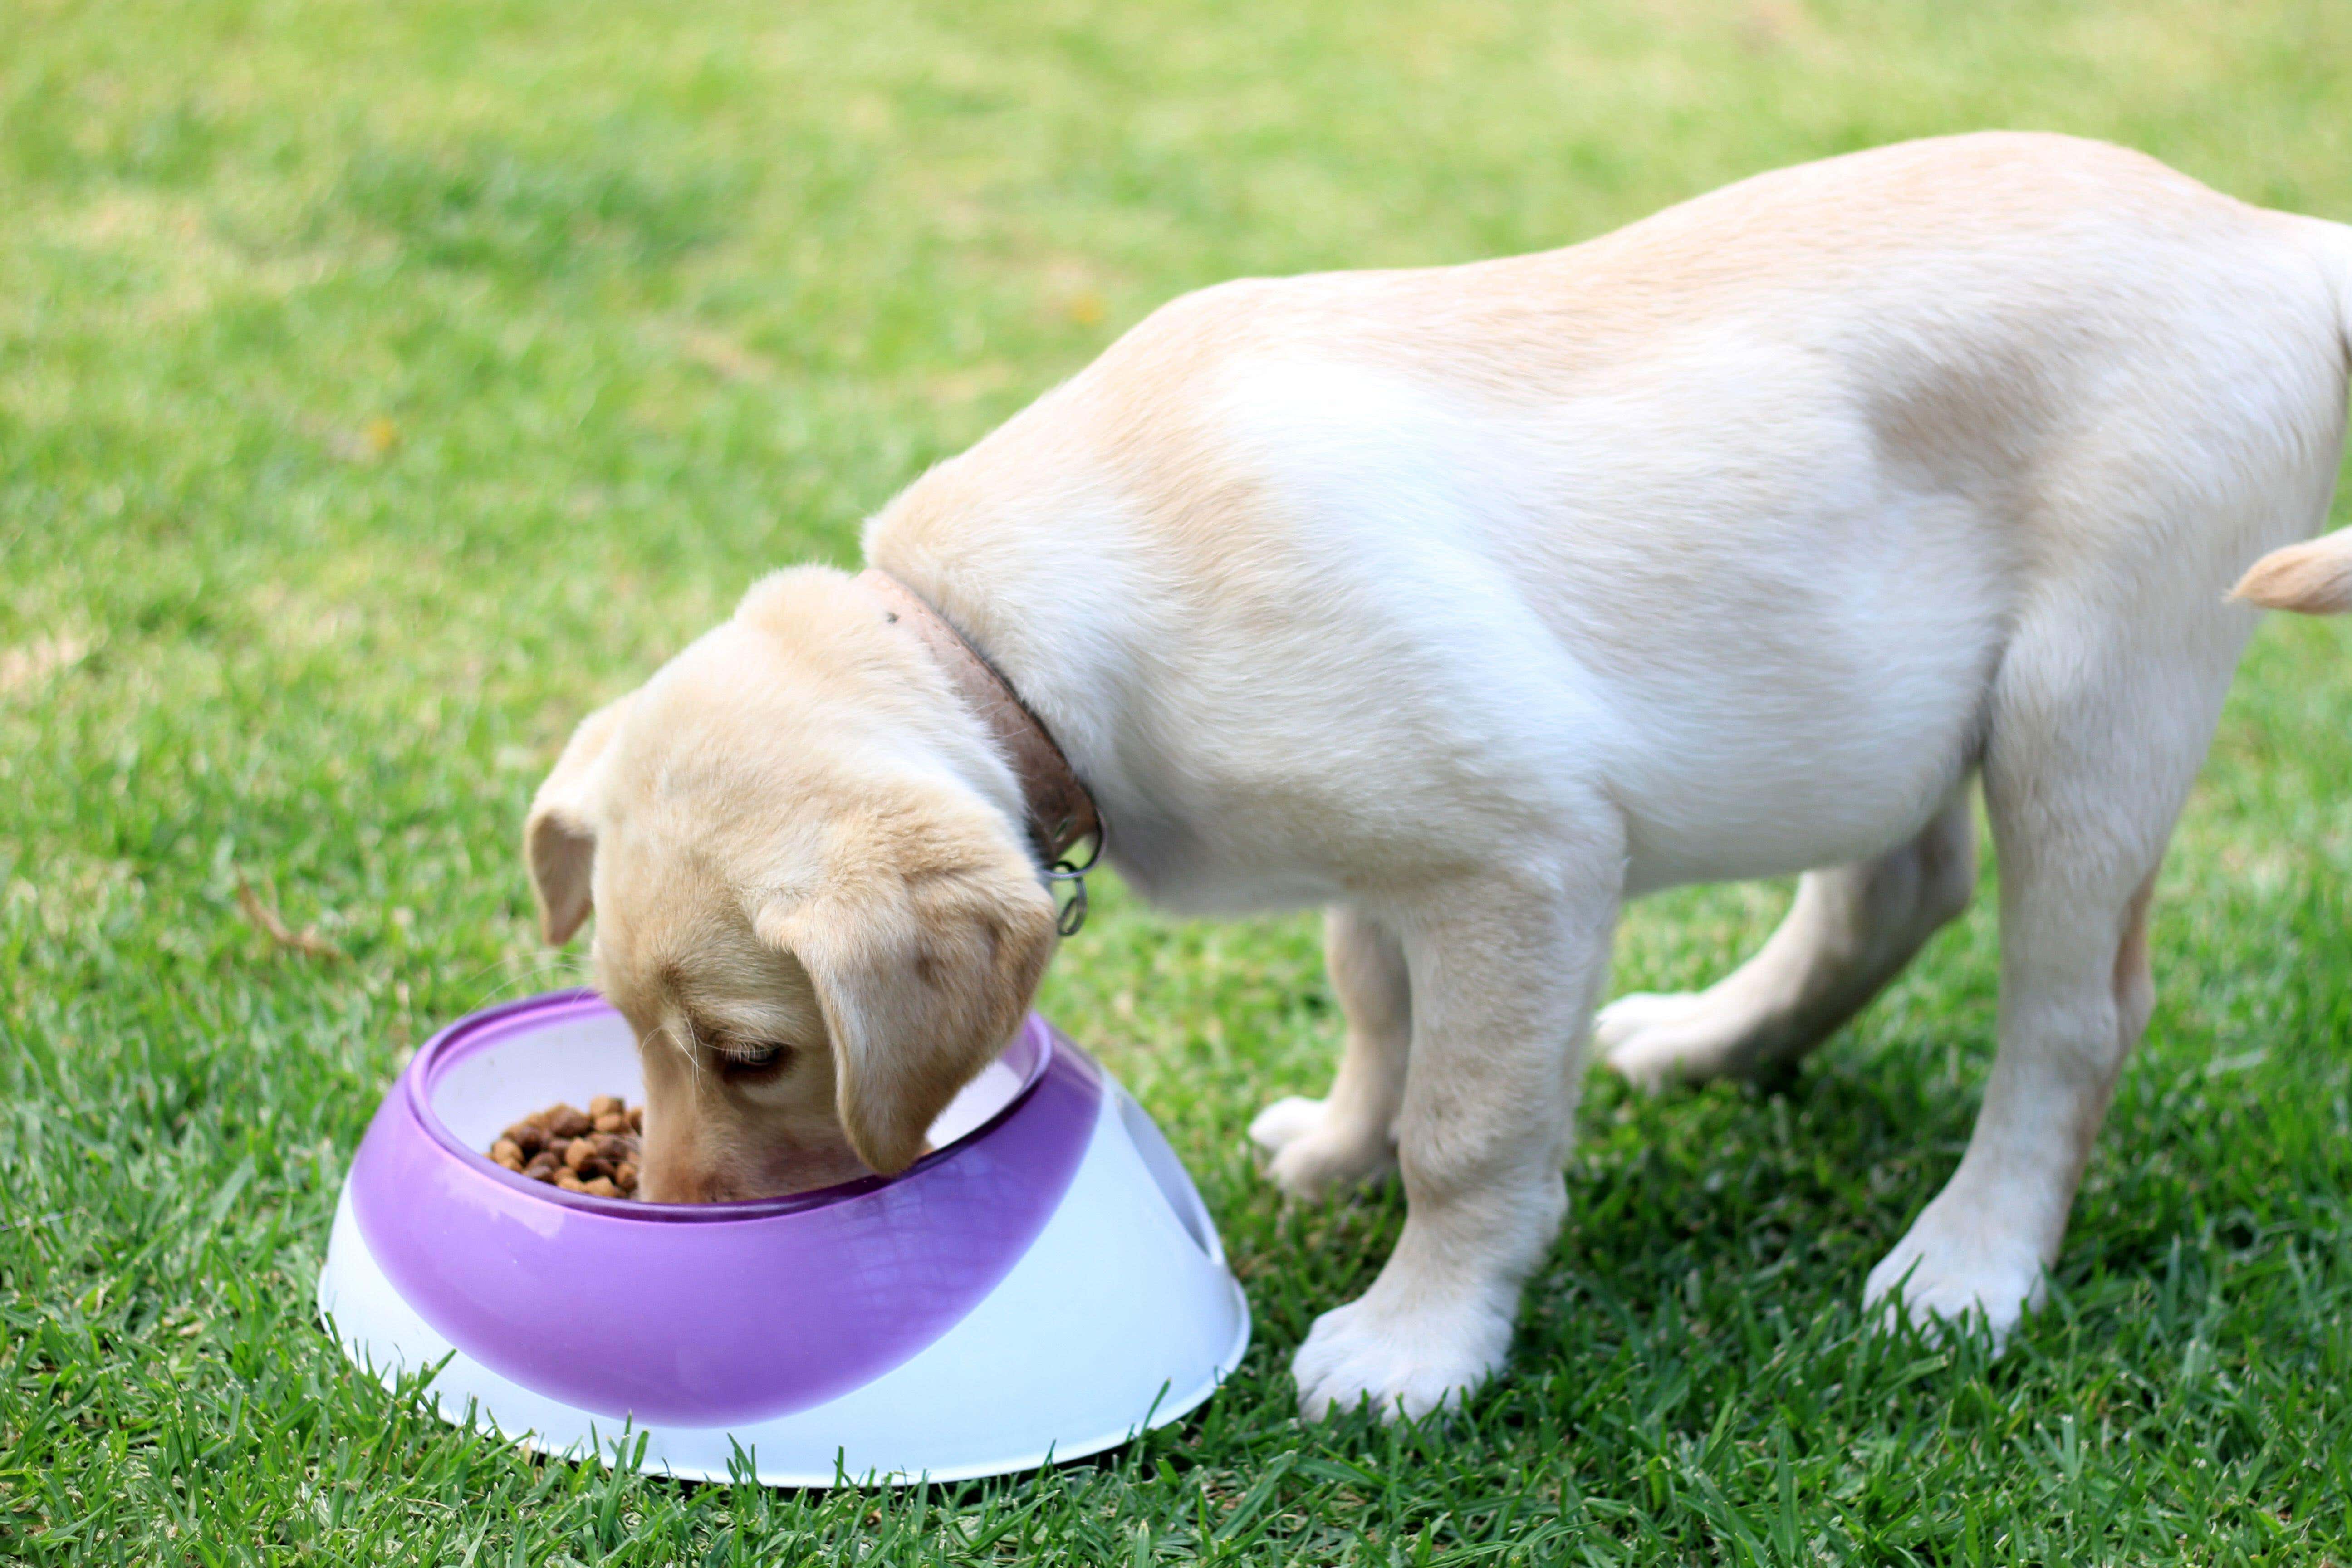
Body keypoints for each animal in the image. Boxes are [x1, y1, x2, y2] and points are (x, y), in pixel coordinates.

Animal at [524, 135, 2352, 1420]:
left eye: (753, 1056)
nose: (670, 1221)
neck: (1006, 643)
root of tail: (2264, 235)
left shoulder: (1518, 856)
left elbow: (1472, 1127)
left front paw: (1419, 1345)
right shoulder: (1399, 859)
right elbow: (1374, 1003)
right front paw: (1347, 1144)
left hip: (2091, 696)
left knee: (2072, 1016)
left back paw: (1970, 1263)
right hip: (1877, 697)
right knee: (1898, 887)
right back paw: (1714, 1042)